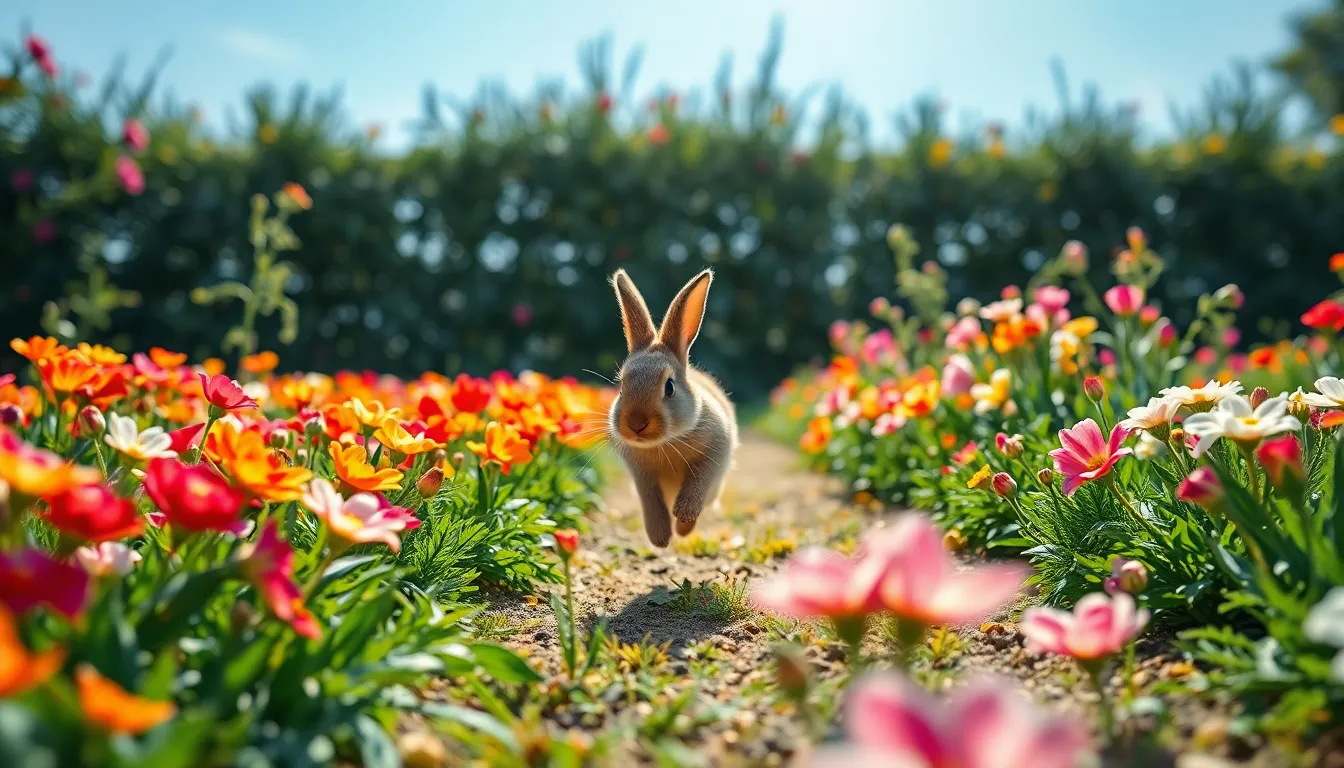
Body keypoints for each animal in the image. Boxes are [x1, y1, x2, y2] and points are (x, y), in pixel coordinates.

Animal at [607, 268, 738, 548]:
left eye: (669, 387)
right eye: (622, 387)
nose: (635, 423)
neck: (666, 442)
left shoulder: (715, 454)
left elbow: (698, 484)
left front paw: (683, 519)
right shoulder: (642, 475)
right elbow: (651, 502)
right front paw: (660, 538)